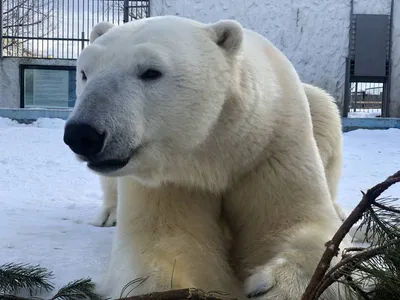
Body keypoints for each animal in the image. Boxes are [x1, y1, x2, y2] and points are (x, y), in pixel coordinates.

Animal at [61, 15, 350, 300]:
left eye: (150, 72)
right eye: (85, 72)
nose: (82, 134)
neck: (212, 155)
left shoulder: (272, 148)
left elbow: (303, 222)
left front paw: (275, 287)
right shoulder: (171, 180)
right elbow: (164, 241)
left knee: (324, 110)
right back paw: (108, 214)